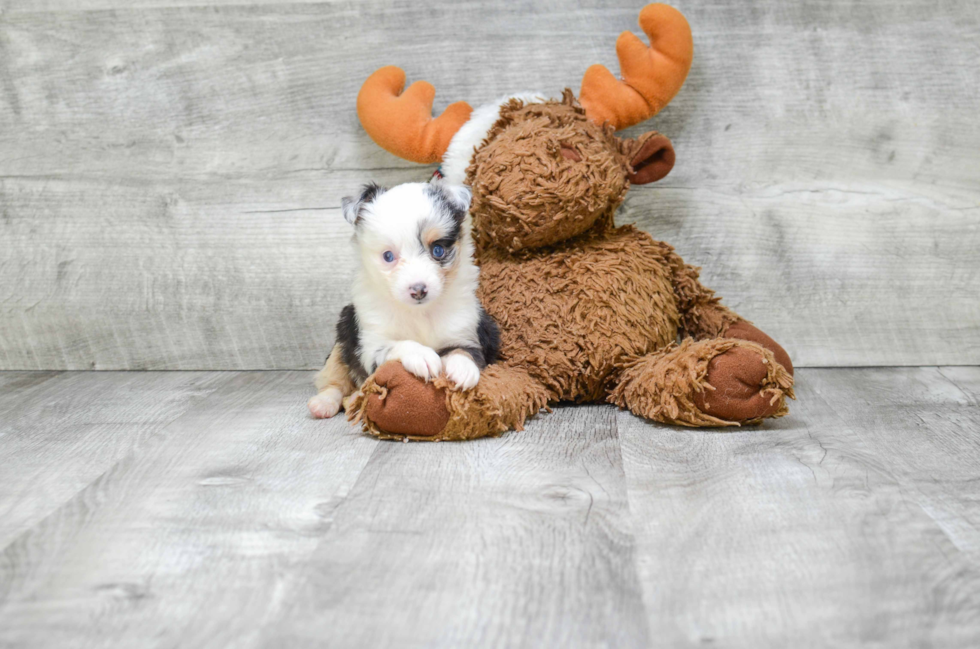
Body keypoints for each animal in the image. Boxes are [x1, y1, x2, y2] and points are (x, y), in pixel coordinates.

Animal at [310, 181, 502, 420]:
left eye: (438, 250)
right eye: (388, 256)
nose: (418, 290)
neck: (420, 312)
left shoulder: (465, 331)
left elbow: (463, 351)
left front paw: (462, 369)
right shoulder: (371, 343)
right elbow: (397, 345)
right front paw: (422, 355)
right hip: (342, 338)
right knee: (335, 381)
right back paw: (325, 403)